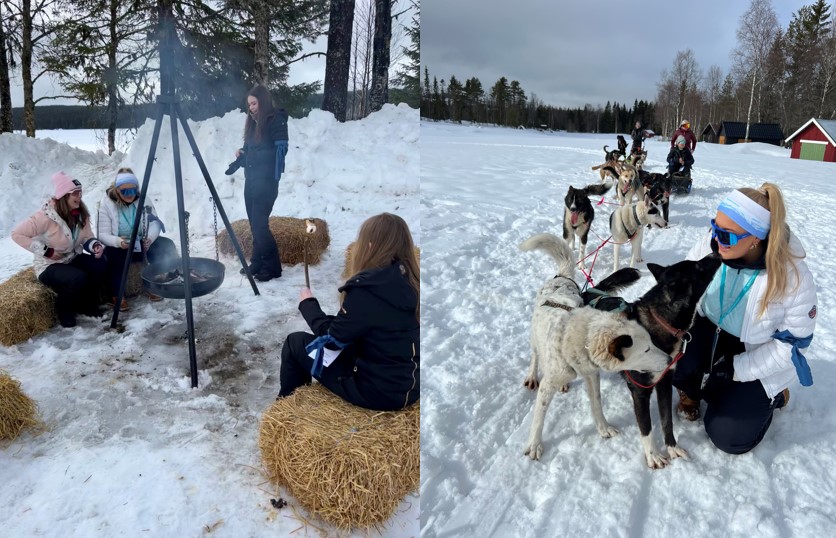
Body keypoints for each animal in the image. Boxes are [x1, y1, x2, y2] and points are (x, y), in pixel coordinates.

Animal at [520, 232, 668, 458]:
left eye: (652, 342)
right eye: (646, 349)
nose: (670, 359)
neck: (579, 340)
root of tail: (561, 277)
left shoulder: (592, 375)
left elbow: (597, 404)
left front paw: (603, 428)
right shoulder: (547, 385)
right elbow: (539, 418)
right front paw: (535, 444)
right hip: (536, 336)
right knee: (536, 355)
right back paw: (531, 374)